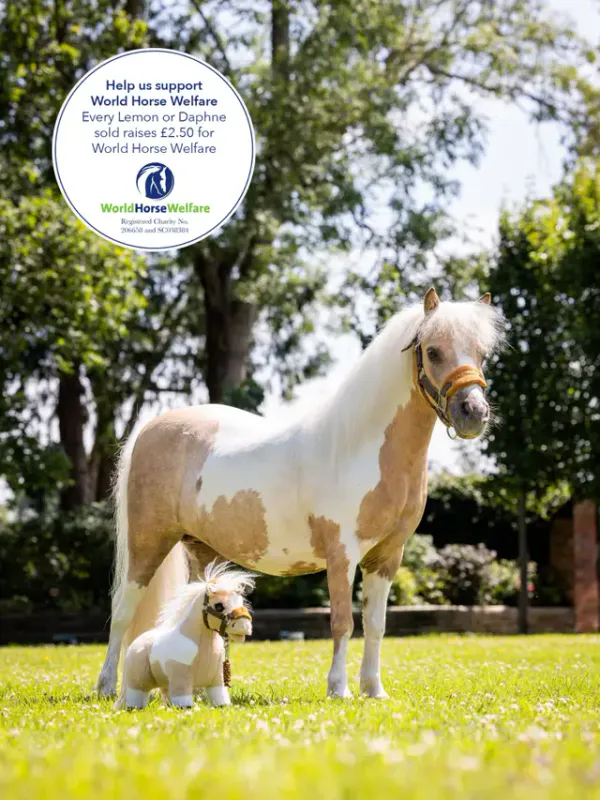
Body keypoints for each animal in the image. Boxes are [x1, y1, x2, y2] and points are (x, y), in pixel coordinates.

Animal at [115, 562, 253, 710]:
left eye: (241, 602)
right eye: (219, 606)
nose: (244, 627)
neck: (203, 645)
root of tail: (137, 641)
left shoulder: (216, 681)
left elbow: (220, 699)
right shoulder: (181, 678)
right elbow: (183, 701)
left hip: (165, 682)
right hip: (138, 681)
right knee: (137, 695)